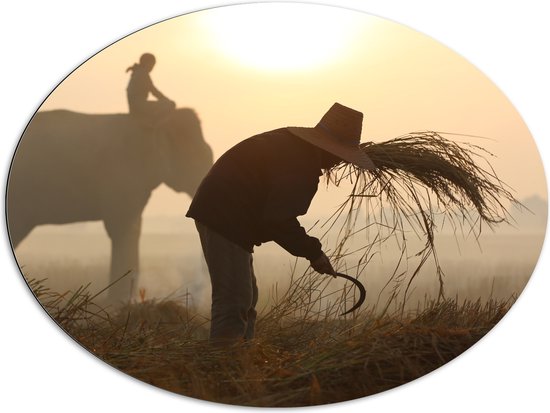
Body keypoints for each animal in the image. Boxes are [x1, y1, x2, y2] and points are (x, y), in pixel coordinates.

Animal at [8, 108, 216, 300]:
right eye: (197, 157)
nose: (197, 289)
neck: (151, 121)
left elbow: (133, 229)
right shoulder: (120, 179)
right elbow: (121, 229)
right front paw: (119, 304)